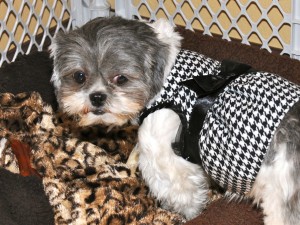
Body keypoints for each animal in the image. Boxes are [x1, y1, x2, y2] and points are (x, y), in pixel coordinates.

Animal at [50, 16, 300, 224]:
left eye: (121, 79)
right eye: (79, 76)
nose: (97, 97)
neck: (164, 77)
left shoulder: (165, 155)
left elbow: (182, 193)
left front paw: (185, 214)